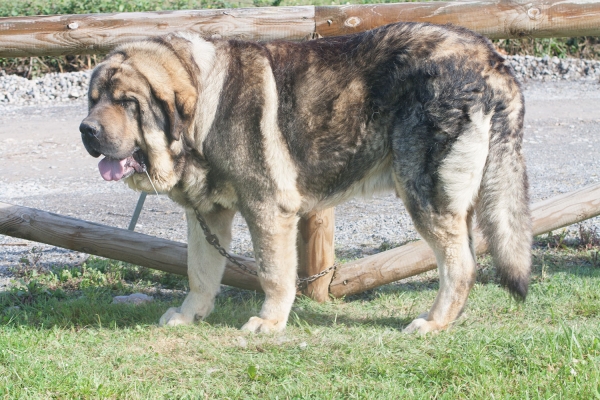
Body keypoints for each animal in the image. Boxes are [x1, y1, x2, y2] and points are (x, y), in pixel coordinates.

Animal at [78, 21, 528, 334]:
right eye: (94, 100)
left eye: (127, 103)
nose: (86, 130)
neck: (204, 109)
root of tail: (490, 58)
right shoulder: (207, 215)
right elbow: (200, 272)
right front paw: (191, 315)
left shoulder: (266, 209)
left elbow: (273, 274)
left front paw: (269, 322)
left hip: (426, 193)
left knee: (460, 264)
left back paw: (434, 322)